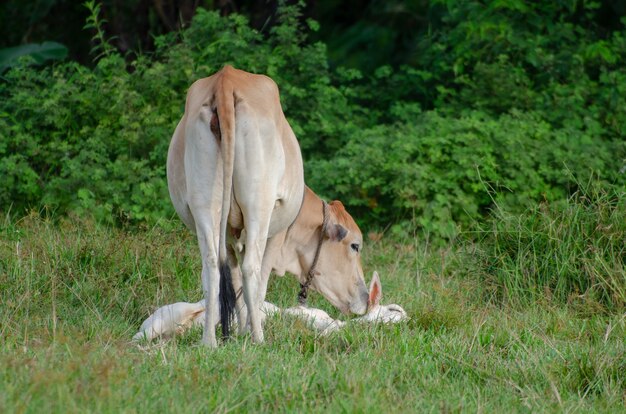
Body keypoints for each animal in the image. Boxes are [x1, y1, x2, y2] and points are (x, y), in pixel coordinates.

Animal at [167, 65, 370, 346]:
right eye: (355, 246)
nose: (367, 299)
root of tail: (226, 79)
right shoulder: (275, 234)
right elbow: (258, 281)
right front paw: (249, 331)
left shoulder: (229, 238)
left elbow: (235, 282)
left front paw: (239, 331)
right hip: (259, 207)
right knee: (252, 269)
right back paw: (259, 339)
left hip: (205, 208)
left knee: (211, 268)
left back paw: (209, 341)